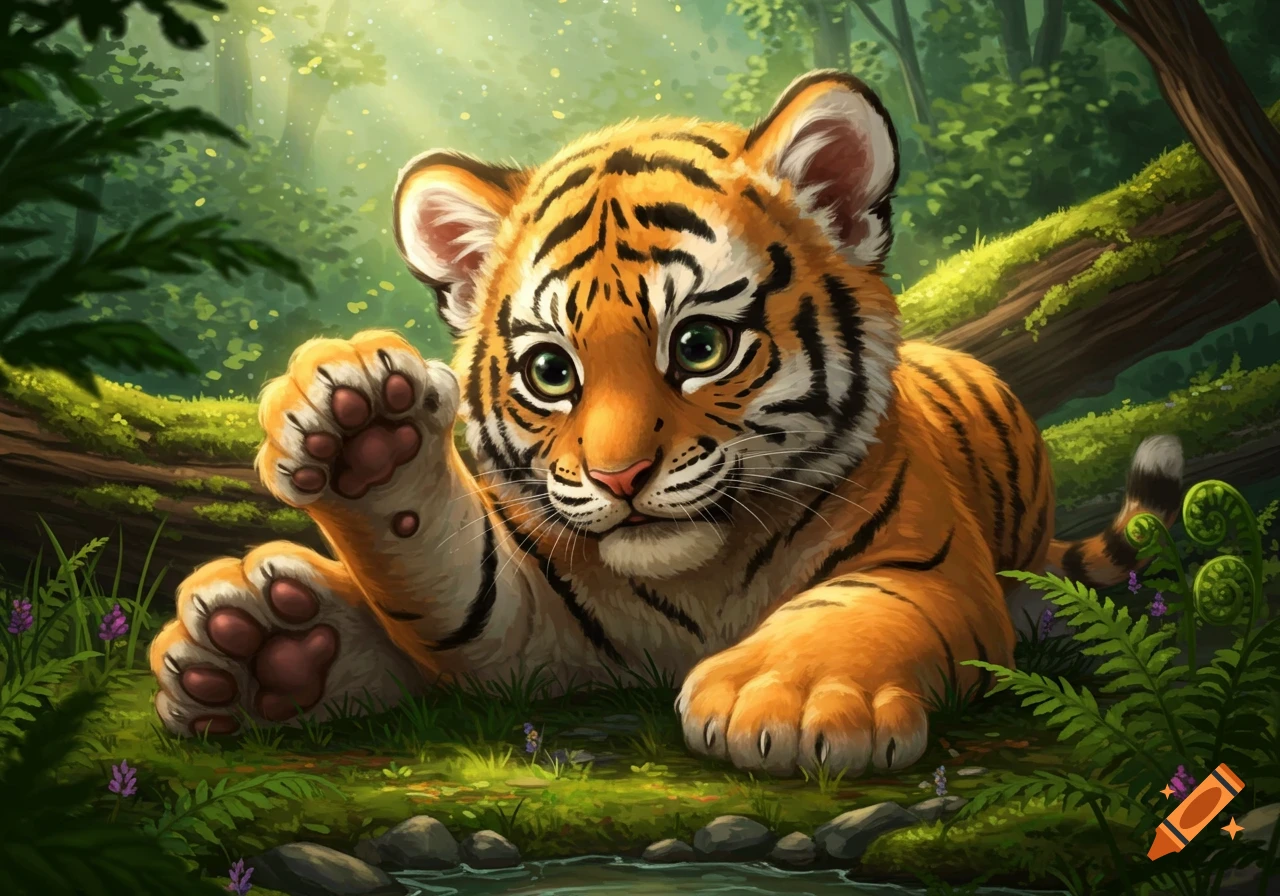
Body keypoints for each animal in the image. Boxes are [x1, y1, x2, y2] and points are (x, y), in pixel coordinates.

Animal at [148, 71, 1183, 777]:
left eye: (698, 345)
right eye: (550, 371)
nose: (618, 479)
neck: (697, 580)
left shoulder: (927, 565)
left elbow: (859, 606)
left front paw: (787, 697)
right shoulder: (526, 631)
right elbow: (443, 565)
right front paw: (359, 428)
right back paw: (266, 653)